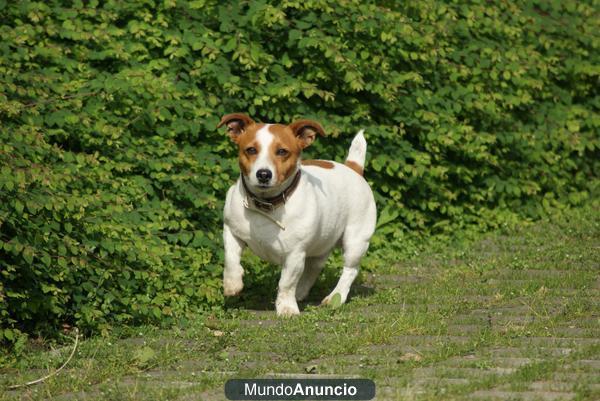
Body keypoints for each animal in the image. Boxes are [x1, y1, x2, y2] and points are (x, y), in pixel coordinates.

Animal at [216, 113, 376, 316]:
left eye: (282, 151)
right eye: (251, 150)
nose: (263, 174)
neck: (266, 205)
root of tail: (353, 169)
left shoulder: (295, 254)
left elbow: (286, 283)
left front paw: (286, 308)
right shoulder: (231, 231)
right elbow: (230, 259)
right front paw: (232, 284)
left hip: (355, 241)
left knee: (350, 270)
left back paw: (335, 297)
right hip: (321, 242)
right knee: (314, 268)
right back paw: (301, 292)